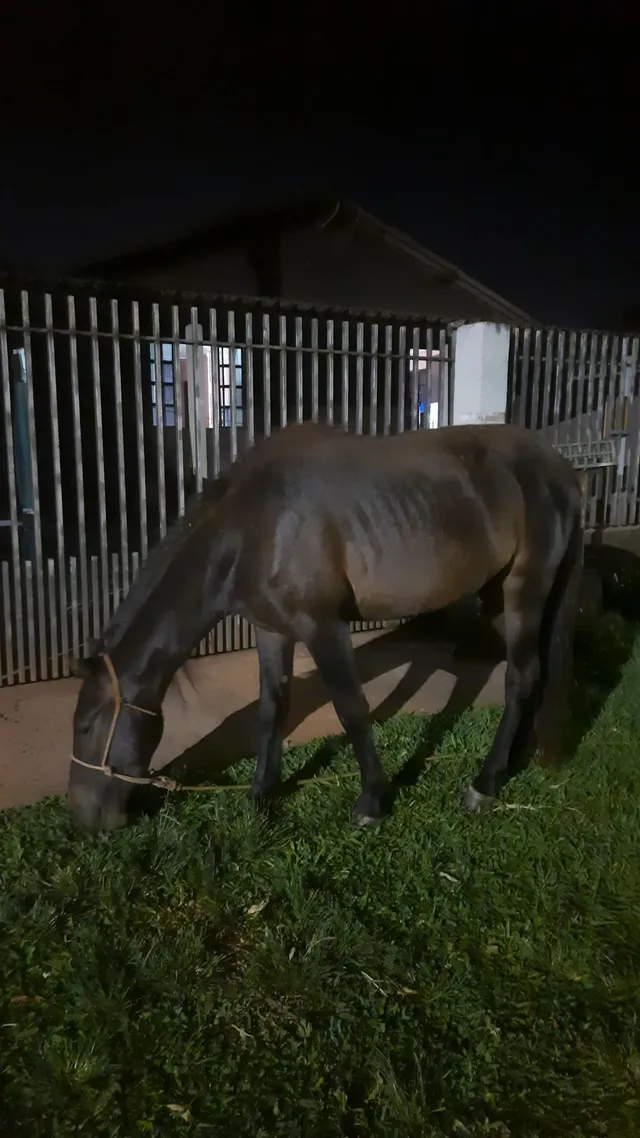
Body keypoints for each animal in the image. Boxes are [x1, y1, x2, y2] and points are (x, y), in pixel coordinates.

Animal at [67, 423, 580, 833]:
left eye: (87, 726)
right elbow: (273, 709)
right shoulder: (272, 631)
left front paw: (371, 802)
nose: (85, 820)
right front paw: (261, 796)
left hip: (523, 588)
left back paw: (484, 782)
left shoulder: (323, 628)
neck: (256, 525)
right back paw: (517, 757)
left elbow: (351, 709)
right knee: (533, 672)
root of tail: (561, 469)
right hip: (496, 597)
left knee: (520, 677)